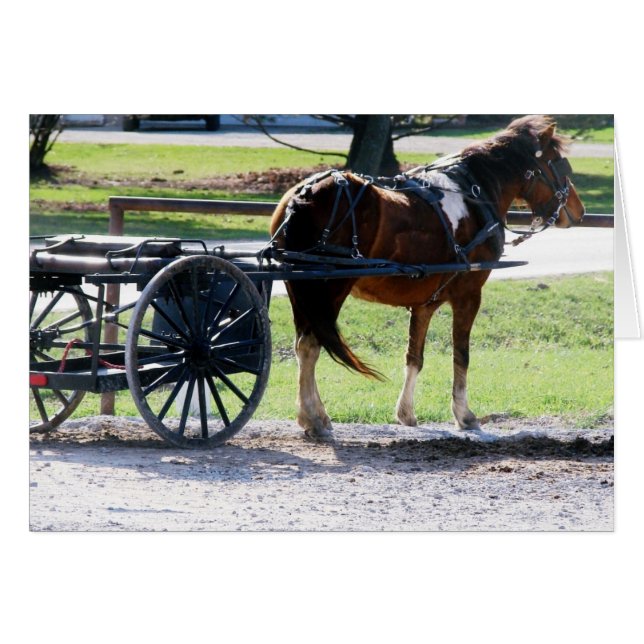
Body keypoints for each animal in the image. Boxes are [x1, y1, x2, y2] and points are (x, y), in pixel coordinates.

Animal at [269, 115, 585, 440]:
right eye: (558, 162)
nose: (578, 210)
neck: (474, 194)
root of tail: (304, 195)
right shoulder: (468, 295)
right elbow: (461, 355)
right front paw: (465, 415)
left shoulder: (425, 304)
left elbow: (414, 357)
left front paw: (406, 414)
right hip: (325, 290)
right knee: (311, 346)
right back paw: (314, 418)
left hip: (299, 290)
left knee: (303, 347)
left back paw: (313, 415)